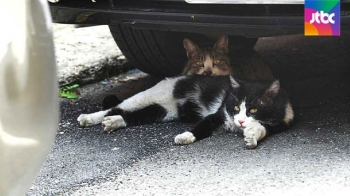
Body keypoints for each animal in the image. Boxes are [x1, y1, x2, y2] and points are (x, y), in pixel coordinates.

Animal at [78, 75, 294, 149]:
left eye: (254, 109)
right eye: (234, 108)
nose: (240, 121)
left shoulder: (279, 124)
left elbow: (262, 129)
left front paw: (252, 136)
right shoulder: (218, 115)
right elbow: (203, 125)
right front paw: (185, 137)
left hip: (163, 111)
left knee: (132, 116)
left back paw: (113, 122)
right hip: (149, 96)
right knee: (115, 107)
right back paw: (89, 118)